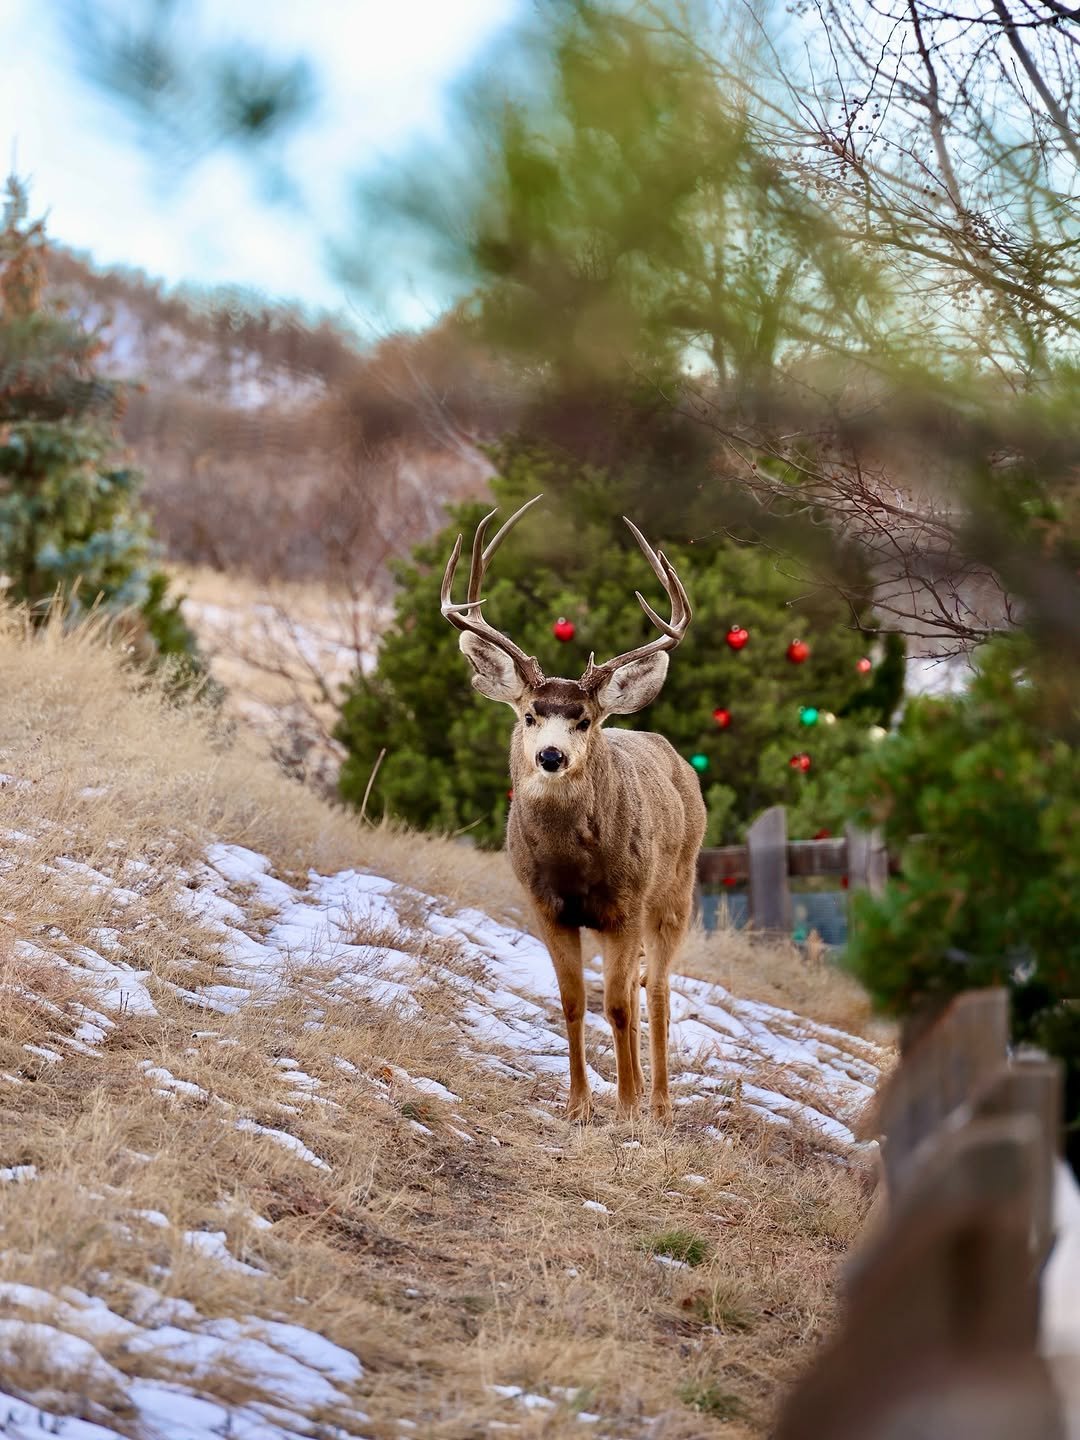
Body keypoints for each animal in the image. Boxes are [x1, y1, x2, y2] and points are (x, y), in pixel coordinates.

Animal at [441, 495, 706, 1124]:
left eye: (583, 719)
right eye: (530, 714)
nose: (551, 755)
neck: (572, 864)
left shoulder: (625, 904)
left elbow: (619, 1006)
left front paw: (627, 1106)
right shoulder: (545, 904)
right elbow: (571, 1002)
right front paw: (579, 1105)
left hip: (675, 892)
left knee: (656, 993)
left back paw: (659, 1104)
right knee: (637, 991)